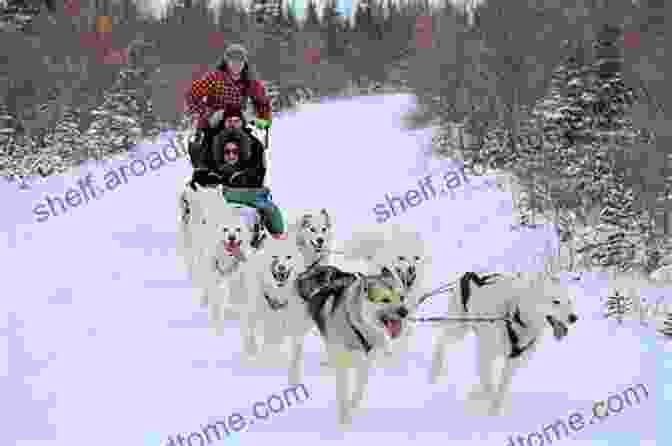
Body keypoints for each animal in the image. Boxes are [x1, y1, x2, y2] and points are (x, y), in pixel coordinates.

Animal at [434, 270, 580, 416]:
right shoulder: (486, 357)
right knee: (442, 341)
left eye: (569, 301)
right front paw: (490, 409)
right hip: (459, 328)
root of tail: (471, 274)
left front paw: (492, 407)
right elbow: (489, 388)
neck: (515, 316)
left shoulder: (512, 363)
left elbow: (501, 389)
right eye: (556, 302)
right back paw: (434, 374)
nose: (574, 318)